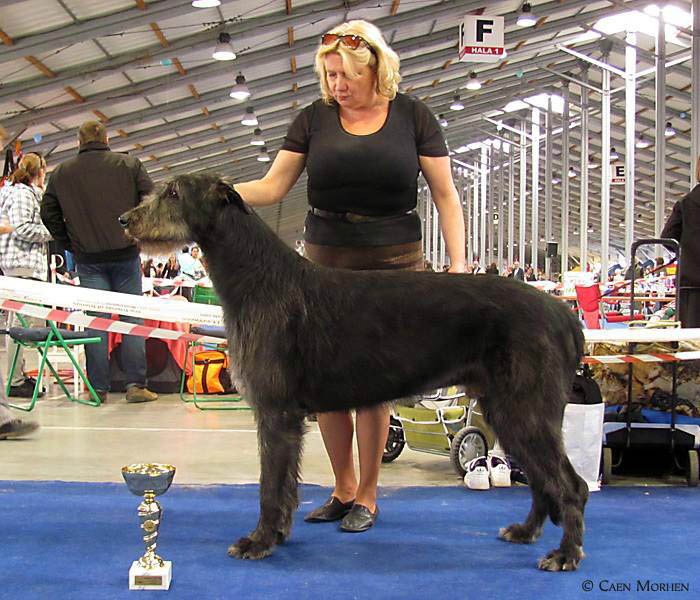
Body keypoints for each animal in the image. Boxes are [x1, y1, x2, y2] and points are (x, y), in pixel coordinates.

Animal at [121, 172, 592, 572]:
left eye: (174, 192)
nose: (125, 219)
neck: (259, 276)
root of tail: (564, 315)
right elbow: (285, 483)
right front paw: (277, 535)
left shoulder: (276, 412)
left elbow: (270, 485)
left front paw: (260, 540)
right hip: (506, 409)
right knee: (541, 480)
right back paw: (526, 532)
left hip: (525, 407)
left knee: (572, 485)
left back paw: (566, 554)